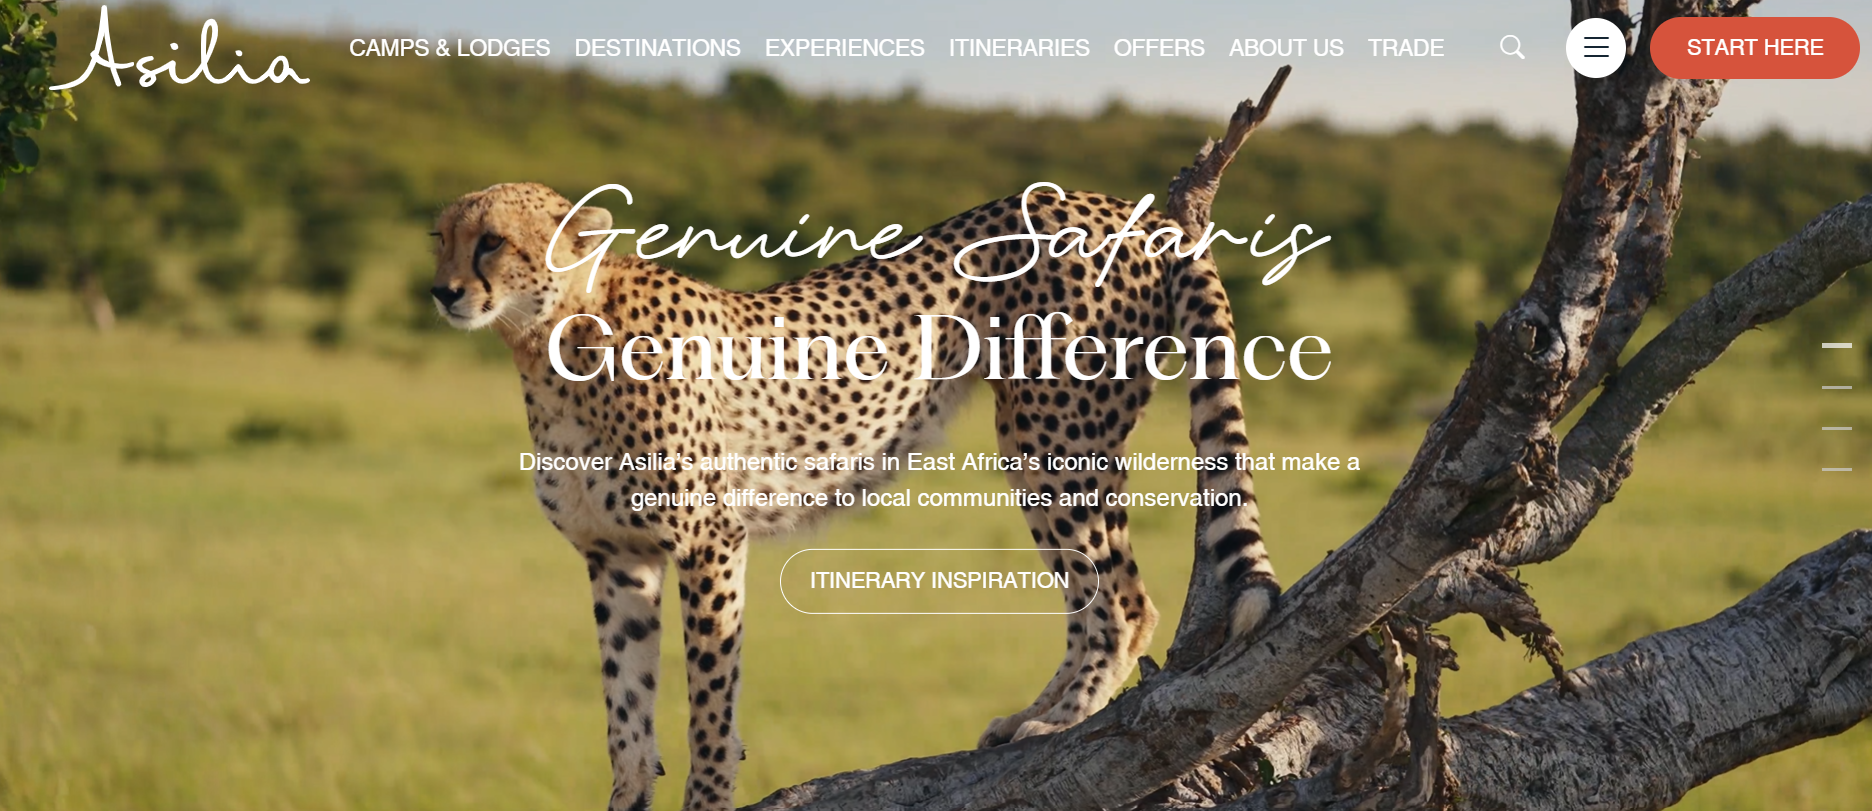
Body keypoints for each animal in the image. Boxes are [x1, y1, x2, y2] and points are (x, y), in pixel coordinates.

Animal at [429, 179, 1279, 811]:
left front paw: (707, 796)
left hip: (1052, 433)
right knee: (1095, 598)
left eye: (492, 241)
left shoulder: (709, 542)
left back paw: (1057, 724)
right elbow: (626, 707)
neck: (553, 342)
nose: (441, 291)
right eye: (440, 236)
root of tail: (1114, 204)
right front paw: (628, 796)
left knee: (1124, 601)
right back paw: (1031, 715)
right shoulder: (616, 554)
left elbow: (710, 704)